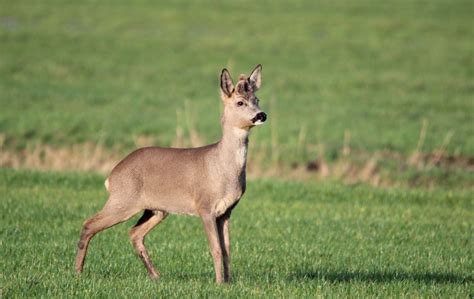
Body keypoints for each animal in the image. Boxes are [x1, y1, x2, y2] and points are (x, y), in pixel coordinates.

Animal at [74, 64, 266, 284]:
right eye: (240, 102)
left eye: (257, 100)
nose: (261, 115)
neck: (222, 169)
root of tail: (112, 176)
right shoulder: (204, 206)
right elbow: (216, 249)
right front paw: (218, 283)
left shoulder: (226, 212)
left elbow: (227, 251)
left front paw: (227, 283)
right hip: (123, 200)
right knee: (89, 224)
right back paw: (77, 272)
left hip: (156, 209)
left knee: (134, 233)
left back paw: (156, 276)